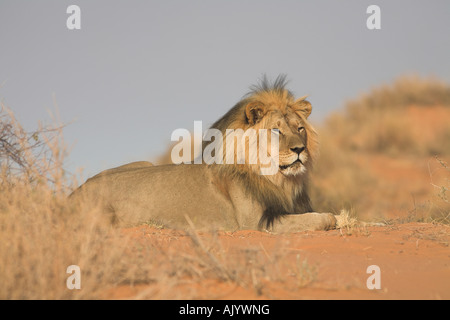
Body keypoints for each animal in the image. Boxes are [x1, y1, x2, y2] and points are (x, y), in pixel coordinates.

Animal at [72, 76, 336, 234]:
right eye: (275, 130)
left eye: (299, 129)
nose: (299, 149)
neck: (280, 181)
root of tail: (71, 196)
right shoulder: (253, 223)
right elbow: (319, 218)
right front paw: (330, 218)